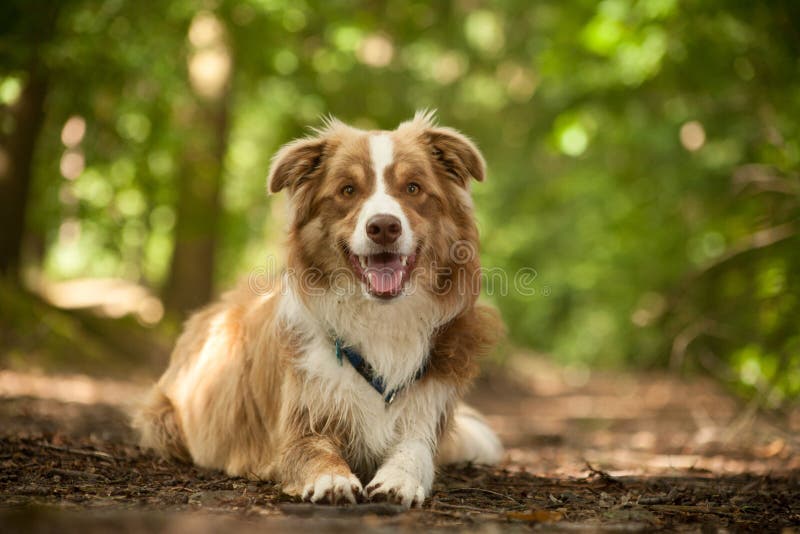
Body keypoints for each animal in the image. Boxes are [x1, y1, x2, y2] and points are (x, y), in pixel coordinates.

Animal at [134, 111, 504, 508]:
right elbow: (315, 452)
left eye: (414, 188)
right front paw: (332, 479)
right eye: (348, 190)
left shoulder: (424, 416)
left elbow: (414, 454)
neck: (380, 319)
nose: (383, 227)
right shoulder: (298, 427)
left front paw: (398, 480)